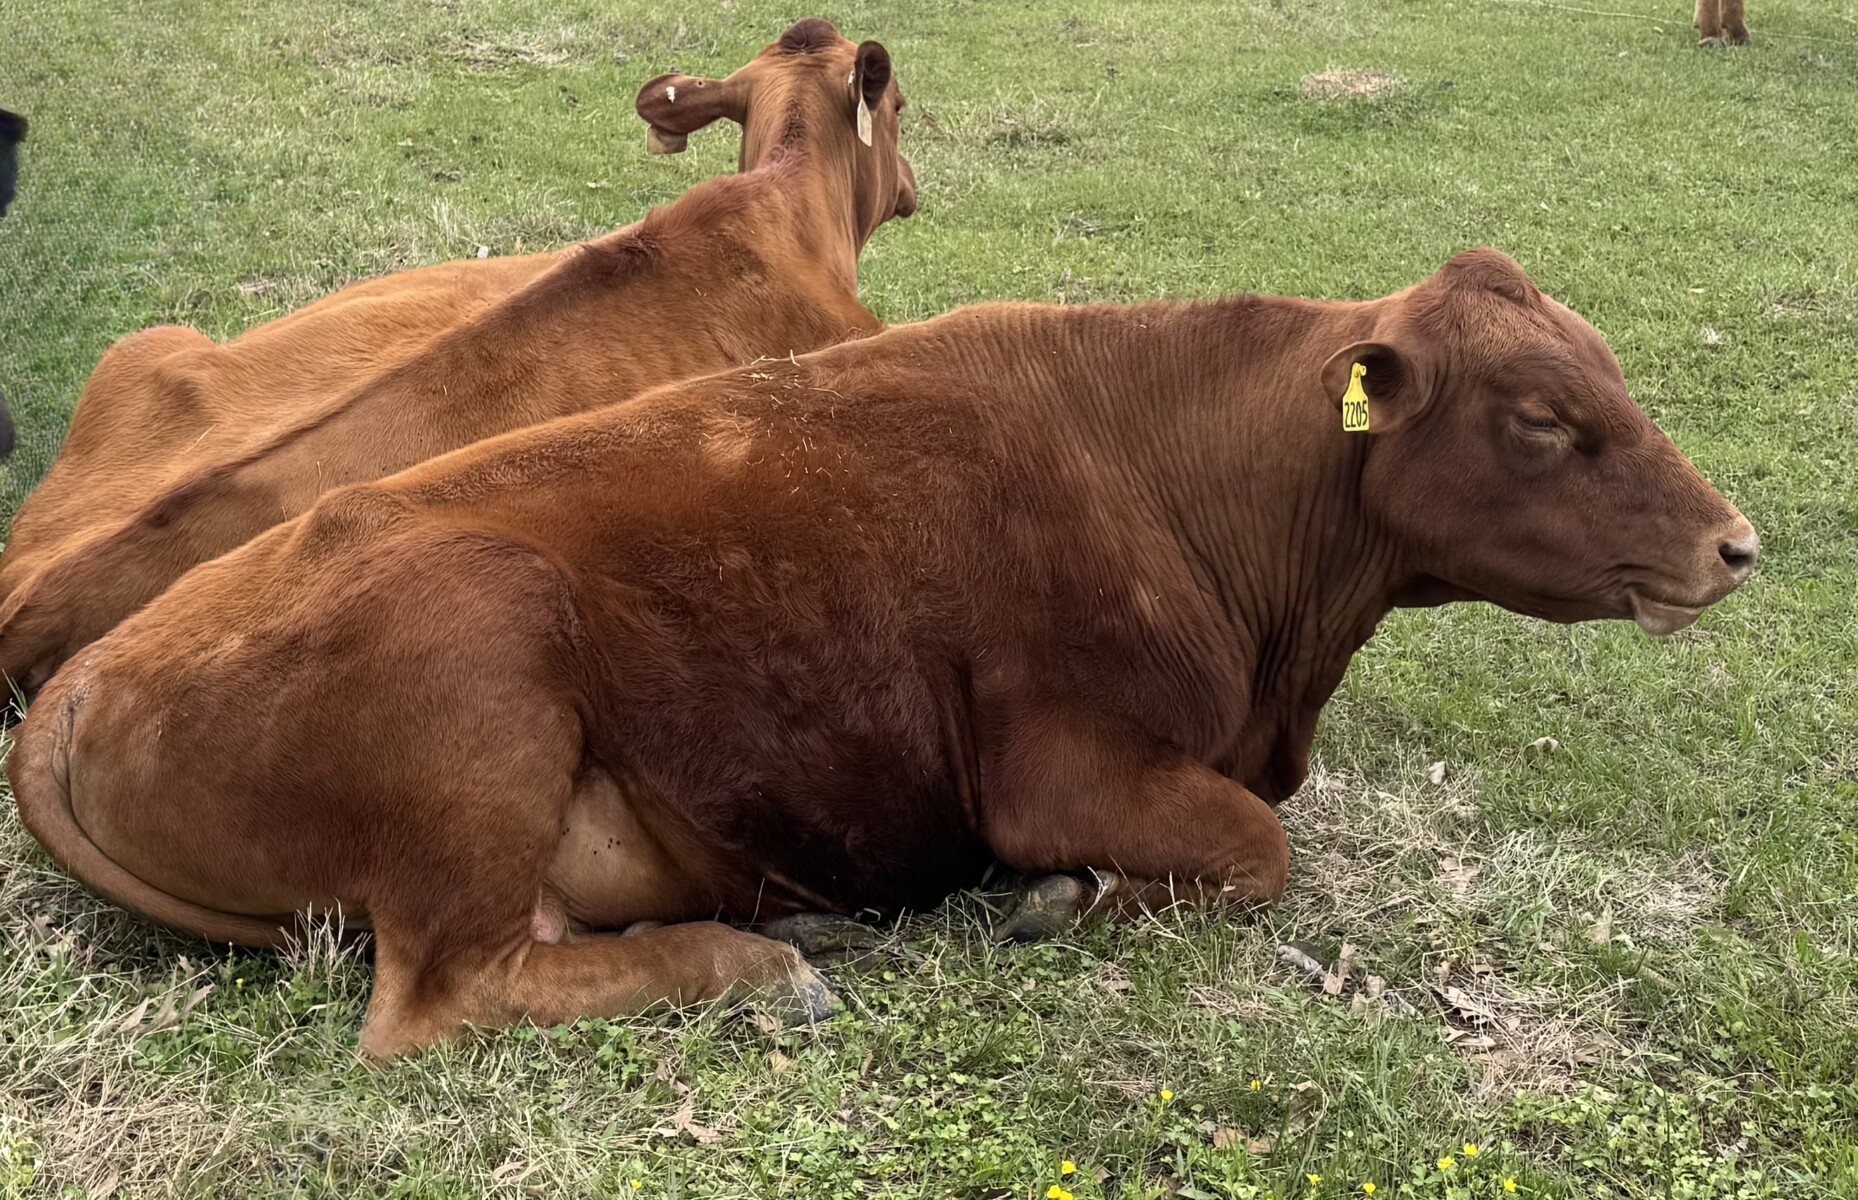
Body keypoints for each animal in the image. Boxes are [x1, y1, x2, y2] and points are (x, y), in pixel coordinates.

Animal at [9, 249, 1758, 1058]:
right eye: (1542, 420)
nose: (1733, 543)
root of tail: (85, 679)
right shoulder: (1058, 767)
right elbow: (1255, 851)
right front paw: (1063, 902)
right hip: (475, 669)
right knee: (443, 995)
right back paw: (759, 965)